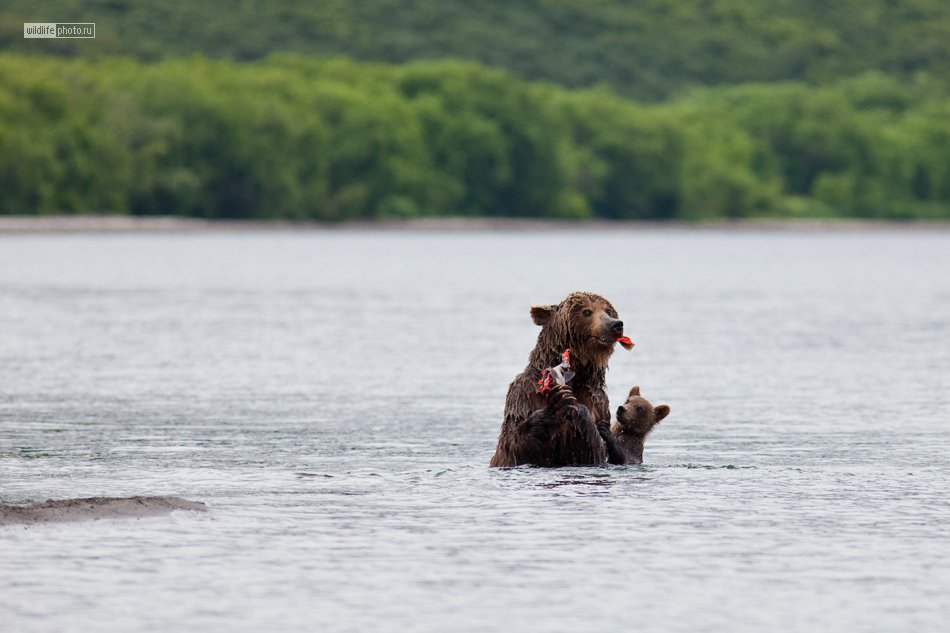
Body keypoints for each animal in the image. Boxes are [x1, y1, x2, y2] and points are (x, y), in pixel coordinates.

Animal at [490, 290, 632, 464]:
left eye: (608, 311)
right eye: (586, 312)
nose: (616, 324)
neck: (577, 378)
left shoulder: (599, 403)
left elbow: (595, 448)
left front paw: (576, 407)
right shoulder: (524, 396)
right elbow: (512, 446)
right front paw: (557, 404)